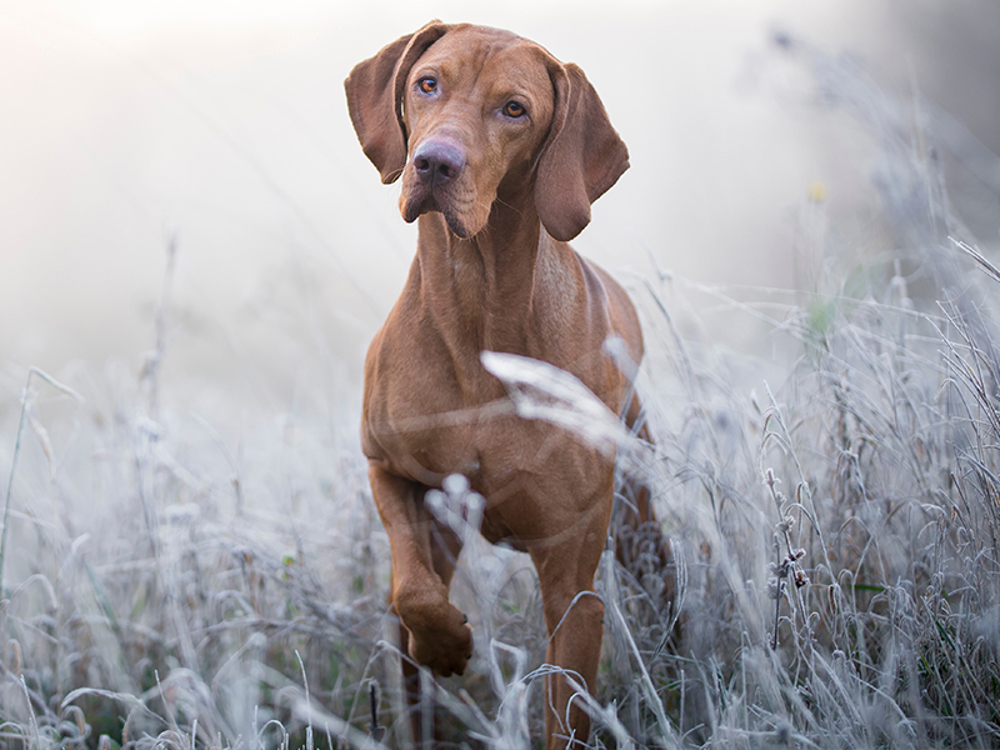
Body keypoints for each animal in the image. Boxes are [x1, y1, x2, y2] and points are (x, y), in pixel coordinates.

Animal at [344, 22, 672, 750]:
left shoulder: (572, 585)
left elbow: (565, 712)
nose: (433, 163)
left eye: (514, 110)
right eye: (427, 83)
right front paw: (445, 643)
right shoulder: (389, 468)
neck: (477, 308)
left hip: (639, 521)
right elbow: (413, 590)